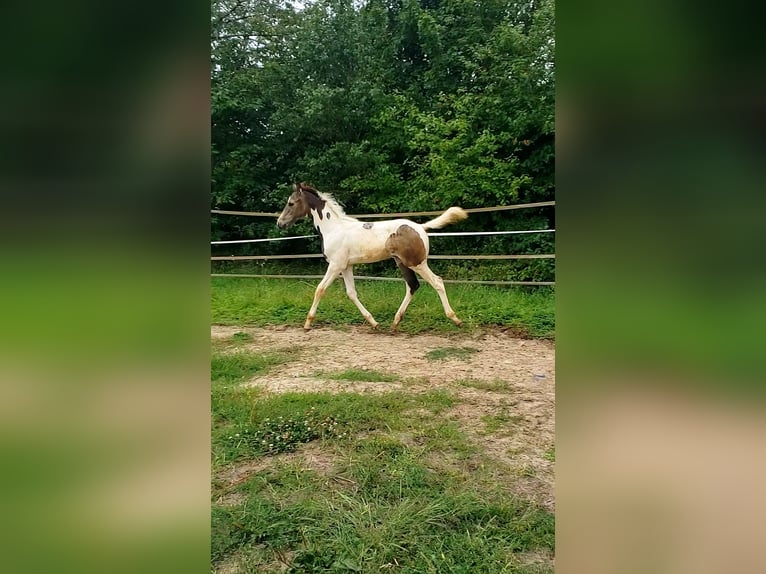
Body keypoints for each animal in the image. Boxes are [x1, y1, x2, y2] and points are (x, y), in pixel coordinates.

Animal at [276, 182, 468, 330]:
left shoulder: (335, 265)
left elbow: (320, 289)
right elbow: (351, 293)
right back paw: (395, 323)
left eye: (291, 203)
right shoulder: (346, 266)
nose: (280, 223)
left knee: (437, 282)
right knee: (412, 286)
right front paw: (374, 323)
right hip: (402, 263)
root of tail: (420, 227)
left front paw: (307, 324)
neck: (333, 228)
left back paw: (456, 319)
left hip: (417, 263)